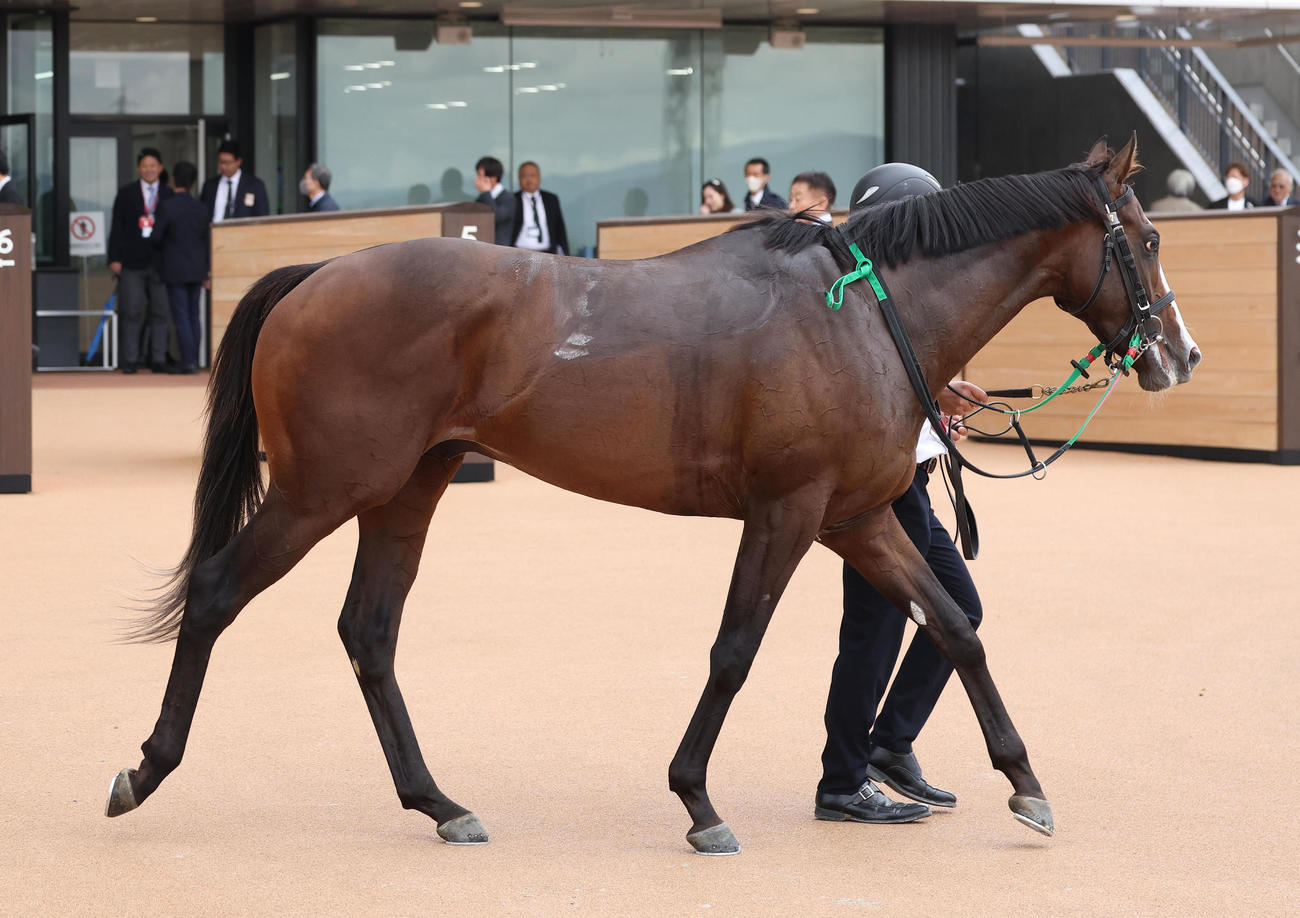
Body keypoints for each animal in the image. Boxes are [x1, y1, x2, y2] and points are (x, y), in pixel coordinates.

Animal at [106, 136, 1200, 855]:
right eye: (1145, 240)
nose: (1179, 356)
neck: (861, 314)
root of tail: (318, 271)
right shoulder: (789, 513)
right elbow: (735, 650)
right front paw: (697, 802)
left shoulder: (852, 518)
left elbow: (954, 625)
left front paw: (1026, 785)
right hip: (323, 488)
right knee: (216, 593)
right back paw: (145, 769)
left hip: (407, 488)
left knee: (369, 632)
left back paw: (440, 802)